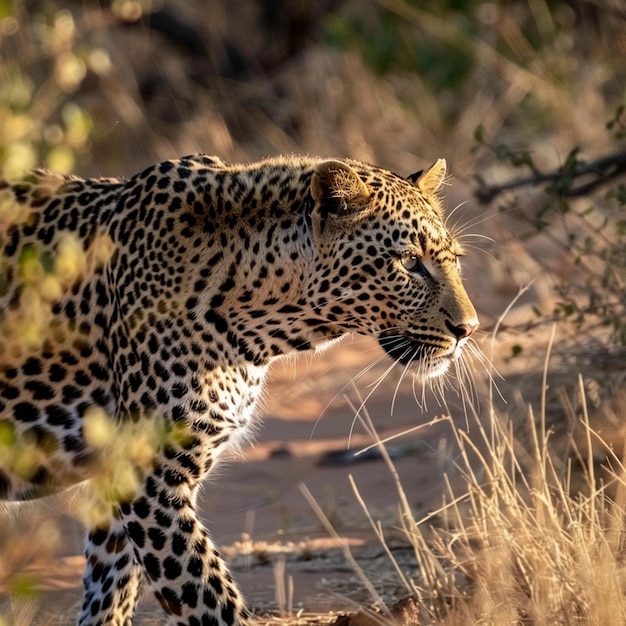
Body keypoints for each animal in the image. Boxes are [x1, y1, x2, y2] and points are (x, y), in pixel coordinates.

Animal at [1, 152, 478, 624]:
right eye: (409, 262)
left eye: (454, 259)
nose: (468, 329)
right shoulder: (150, 480)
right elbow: (207, 598)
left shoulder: (116, 480)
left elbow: (110, 594)